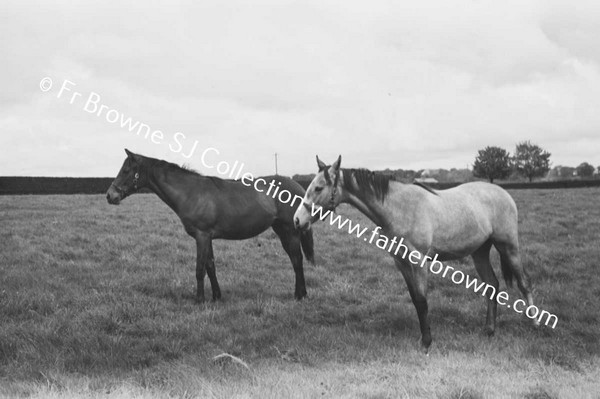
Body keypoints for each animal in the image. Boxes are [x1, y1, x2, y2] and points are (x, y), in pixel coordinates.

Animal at [107, 150, 314, 304]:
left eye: (126, 170)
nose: (110, 195)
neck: (190, 193)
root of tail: (298, 187)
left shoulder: (202, 236)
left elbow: (200, 269)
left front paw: (199, 299)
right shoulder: (208, 238)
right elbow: (210, 266)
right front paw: (216, 297)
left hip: (290, 231)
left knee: (297, 260)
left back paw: (300, 295)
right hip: (281, 231)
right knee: (294, 259)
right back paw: (300, 293)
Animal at [292, 156, 536, 354]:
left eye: (318, 188)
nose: (297, 220)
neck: (398, 208)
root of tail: (502, 192)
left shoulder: (418, 262)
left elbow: (422, 300)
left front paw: (427, 342)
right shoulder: (401, 262)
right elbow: (416, 300)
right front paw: (424, 339)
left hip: (508, 246)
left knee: (524, 282)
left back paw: (534, 324)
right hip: (480, 252)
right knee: (492, 285)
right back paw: (489, 330)